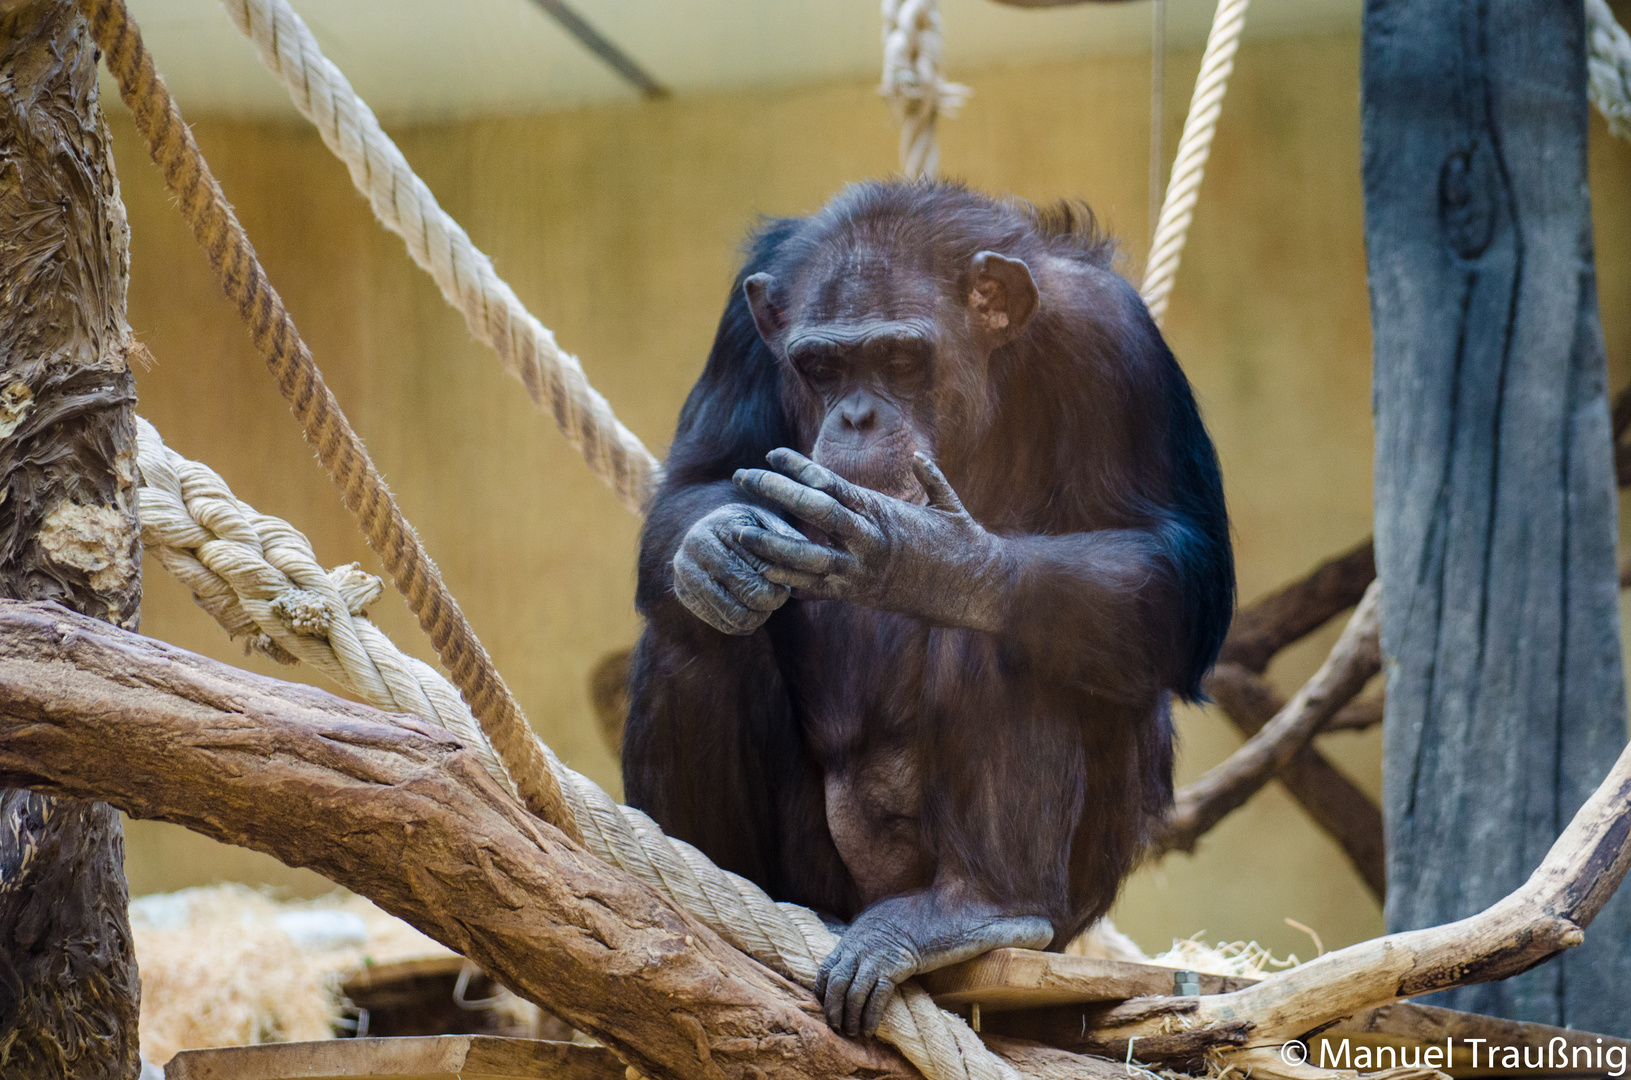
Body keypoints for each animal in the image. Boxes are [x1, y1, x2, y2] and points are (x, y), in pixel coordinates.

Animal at [616, 177, 1226, 1044]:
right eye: (820, 365)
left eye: (902, 359)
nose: (857, 416)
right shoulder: (740, 329)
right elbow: (693, 484)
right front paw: (716, 545)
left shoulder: (1115, 342)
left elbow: (1182, 575)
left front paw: (919, 555)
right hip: (816, 879)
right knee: (697, 628)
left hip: (1066, 897)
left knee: (1009, 627)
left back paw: (979, 909)